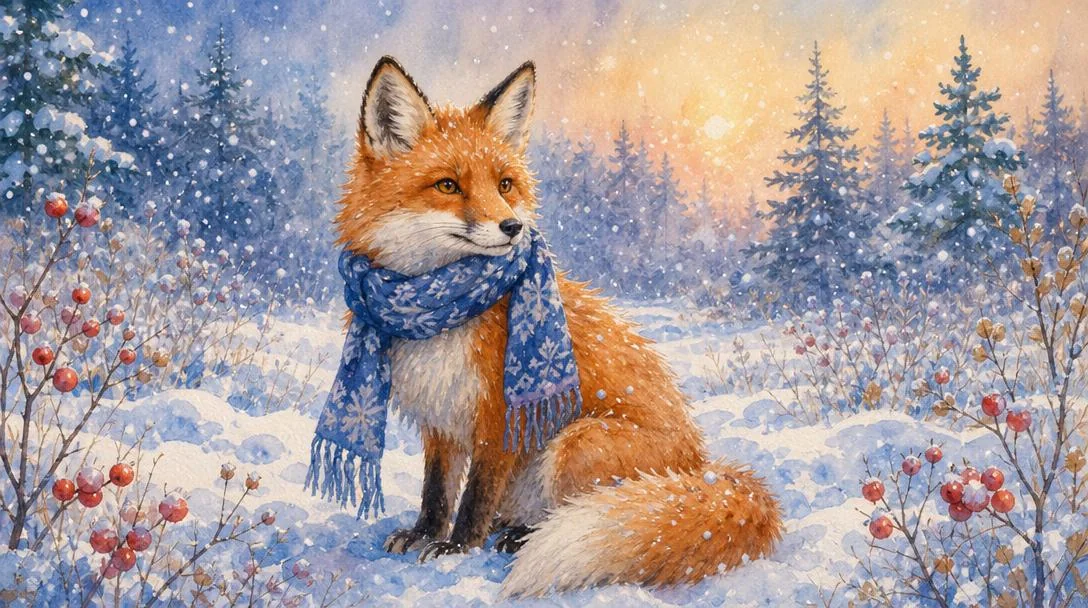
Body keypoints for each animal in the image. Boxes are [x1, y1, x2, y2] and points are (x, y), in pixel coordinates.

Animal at [335, 55, 782, 597]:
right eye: (448, 185)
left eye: (505, 184)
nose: (512, 227)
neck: (440, 308)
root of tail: (702, 467)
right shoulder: (439, 416)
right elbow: (436, 491)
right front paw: (424, 534)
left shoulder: (499, 414)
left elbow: (475, 496)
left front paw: (456, 548)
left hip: (577, 443)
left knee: (572, 508)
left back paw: (522, 537)